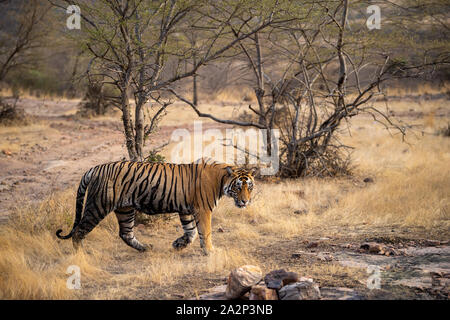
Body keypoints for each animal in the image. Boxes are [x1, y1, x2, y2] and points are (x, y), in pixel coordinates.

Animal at [56, 159, 256, 255]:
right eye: (238, 187)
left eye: (250, 186)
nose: (245, 202)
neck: (221, 180)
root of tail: (95, 168)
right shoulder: (203, 210)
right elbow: (204, 232)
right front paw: (210, 251)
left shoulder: (186, 210)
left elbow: (191, 232)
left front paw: (178, 244)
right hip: (98, 205)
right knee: (79, 231)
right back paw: (82, 255)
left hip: (125, 209)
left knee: (126, 233)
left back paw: (146, 248)